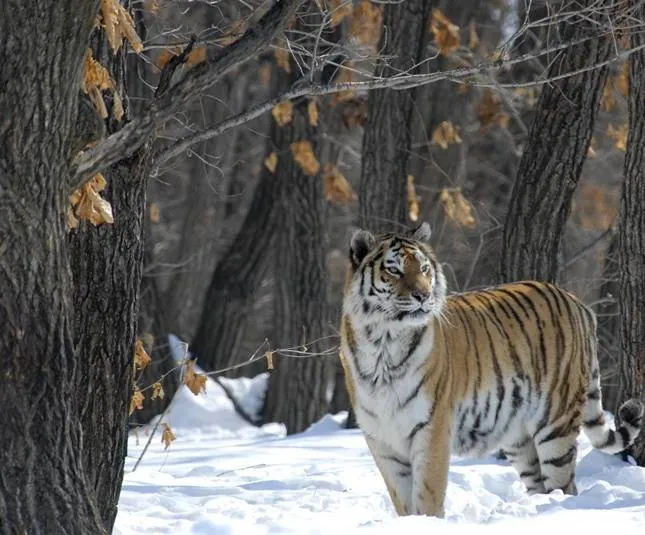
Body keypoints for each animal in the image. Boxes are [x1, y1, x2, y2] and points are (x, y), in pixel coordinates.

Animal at [339, 222, 644, 519]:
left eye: (424, 269)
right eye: (394, 270)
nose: (424, 295)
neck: (383, 343)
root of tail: (577, 302)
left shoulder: (432, 428)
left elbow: (427, 494)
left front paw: (428, 522)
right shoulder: (382, 440)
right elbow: (403, 501)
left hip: (556, 422)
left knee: (565, 484)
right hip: (518, 438)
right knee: (539, 483)